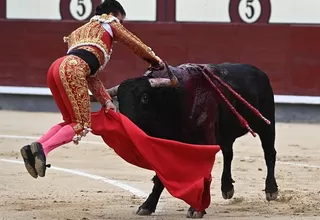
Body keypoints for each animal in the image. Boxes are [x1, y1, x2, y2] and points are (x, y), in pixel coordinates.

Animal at [105, 62, 278, 218]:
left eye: (145, 97)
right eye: (119, 99)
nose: (123, 125)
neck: (173, 102)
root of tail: (260, 72)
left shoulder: (205, 143)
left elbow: (202, 174)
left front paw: (196, 209)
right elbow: (161, 177)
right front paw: (147, 206)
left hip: (266, 124)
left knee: (269, 153)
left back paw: (271, 190)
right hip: (226, 134)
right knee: (228, 154)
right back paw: (227, 188)